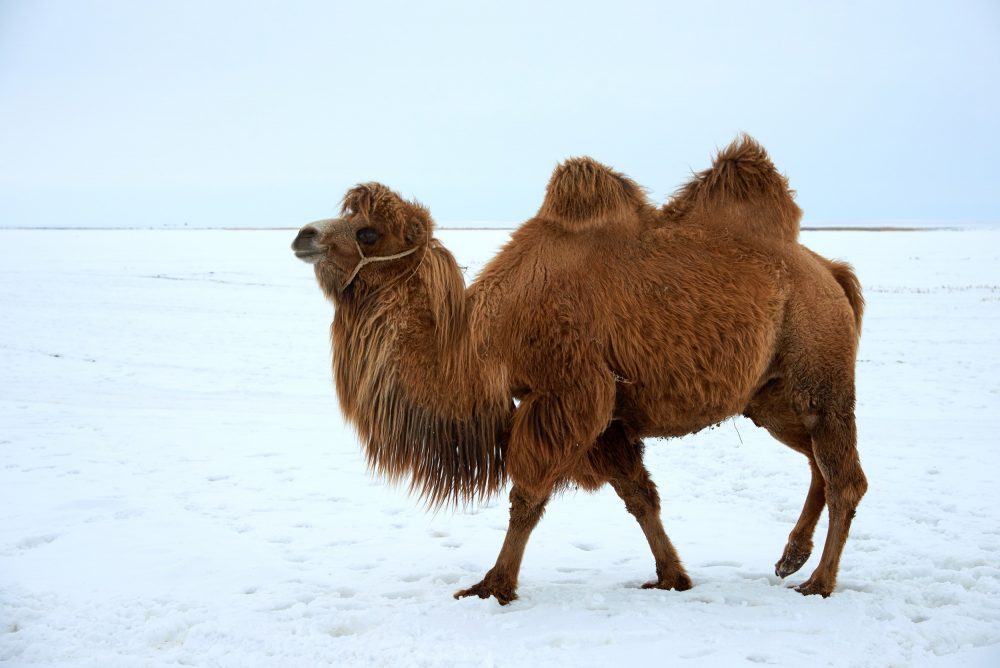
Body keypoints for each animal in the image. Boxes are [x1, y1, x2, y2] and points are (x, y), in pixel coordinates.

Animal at [292, 136, 868, 604]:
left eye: (368, 232)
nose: (303, 234)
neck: (482, 340)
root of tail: (831, 272)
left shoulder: (569, 391)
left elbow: (527, 496)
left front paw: (493, 585)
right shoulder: (607, 413)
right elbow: (639, 496)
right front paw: (671, 576)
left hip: (819, 370)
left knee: (845, 477)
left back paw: (818, 582)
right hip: (771, 396)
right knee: (818, 461)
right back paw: (791, 557)